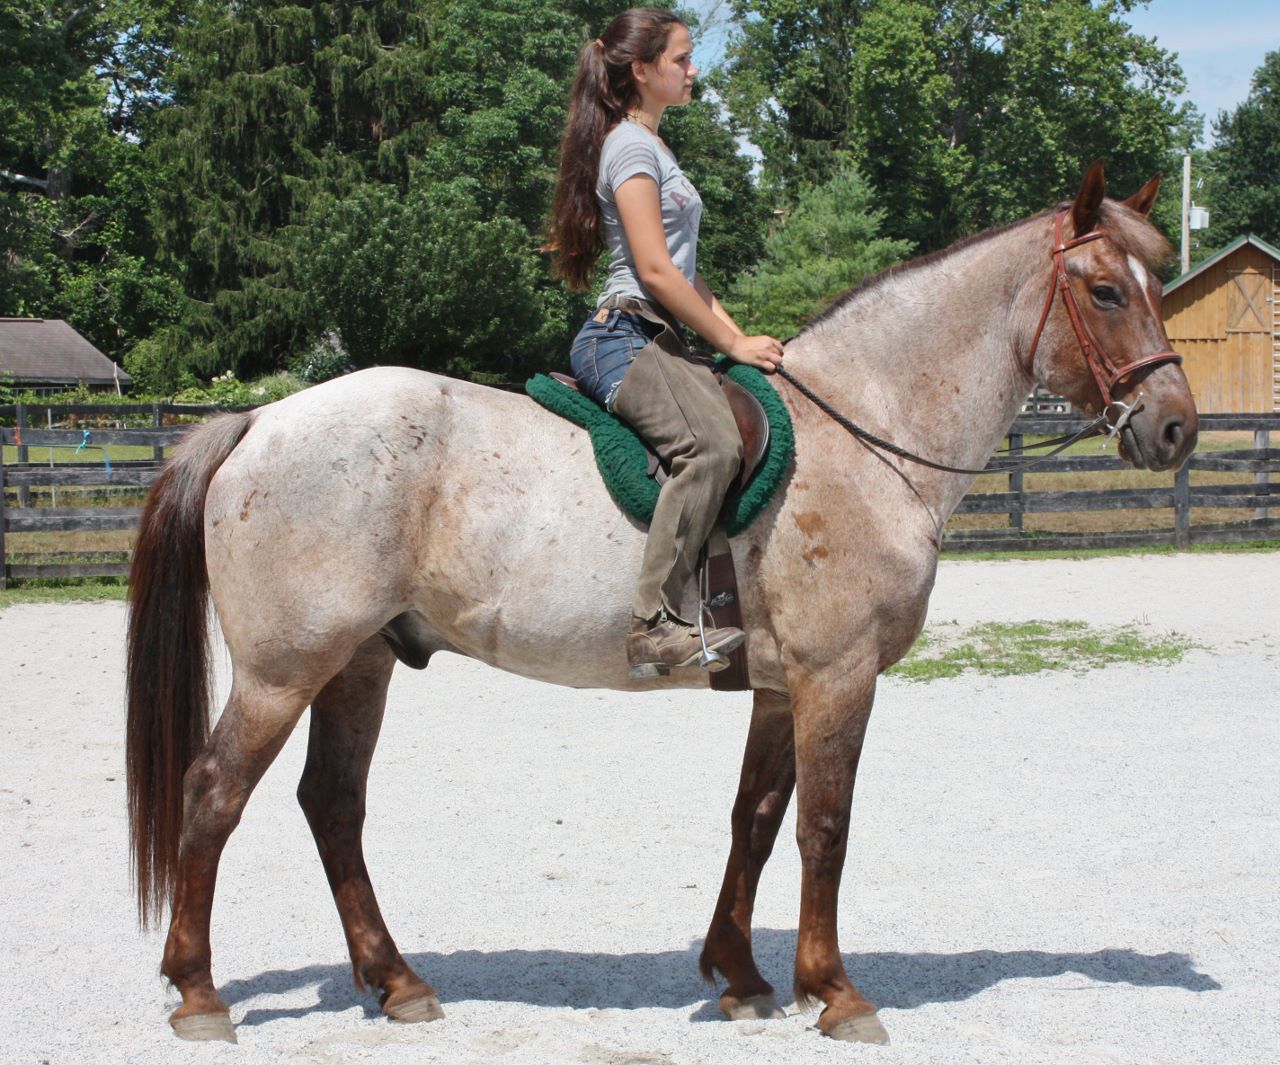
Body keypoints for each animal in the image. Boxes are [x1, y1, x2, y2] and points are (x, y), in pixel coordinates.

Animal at [126, 163, 1197, 1045]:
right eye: (1106, 290)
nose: (1176, 427)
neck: (863, 434)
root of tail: (261, 418)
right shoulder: (838, 676)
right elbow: (826, 826)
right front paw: (835, 991)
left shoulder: (780, 685)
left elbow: (755, 818)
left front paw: (742, 977)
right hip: (284, 670)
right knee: (214, 794)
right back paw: (199, 992)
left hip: (361, 661)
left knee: (332, 805)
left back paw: (397, 982)